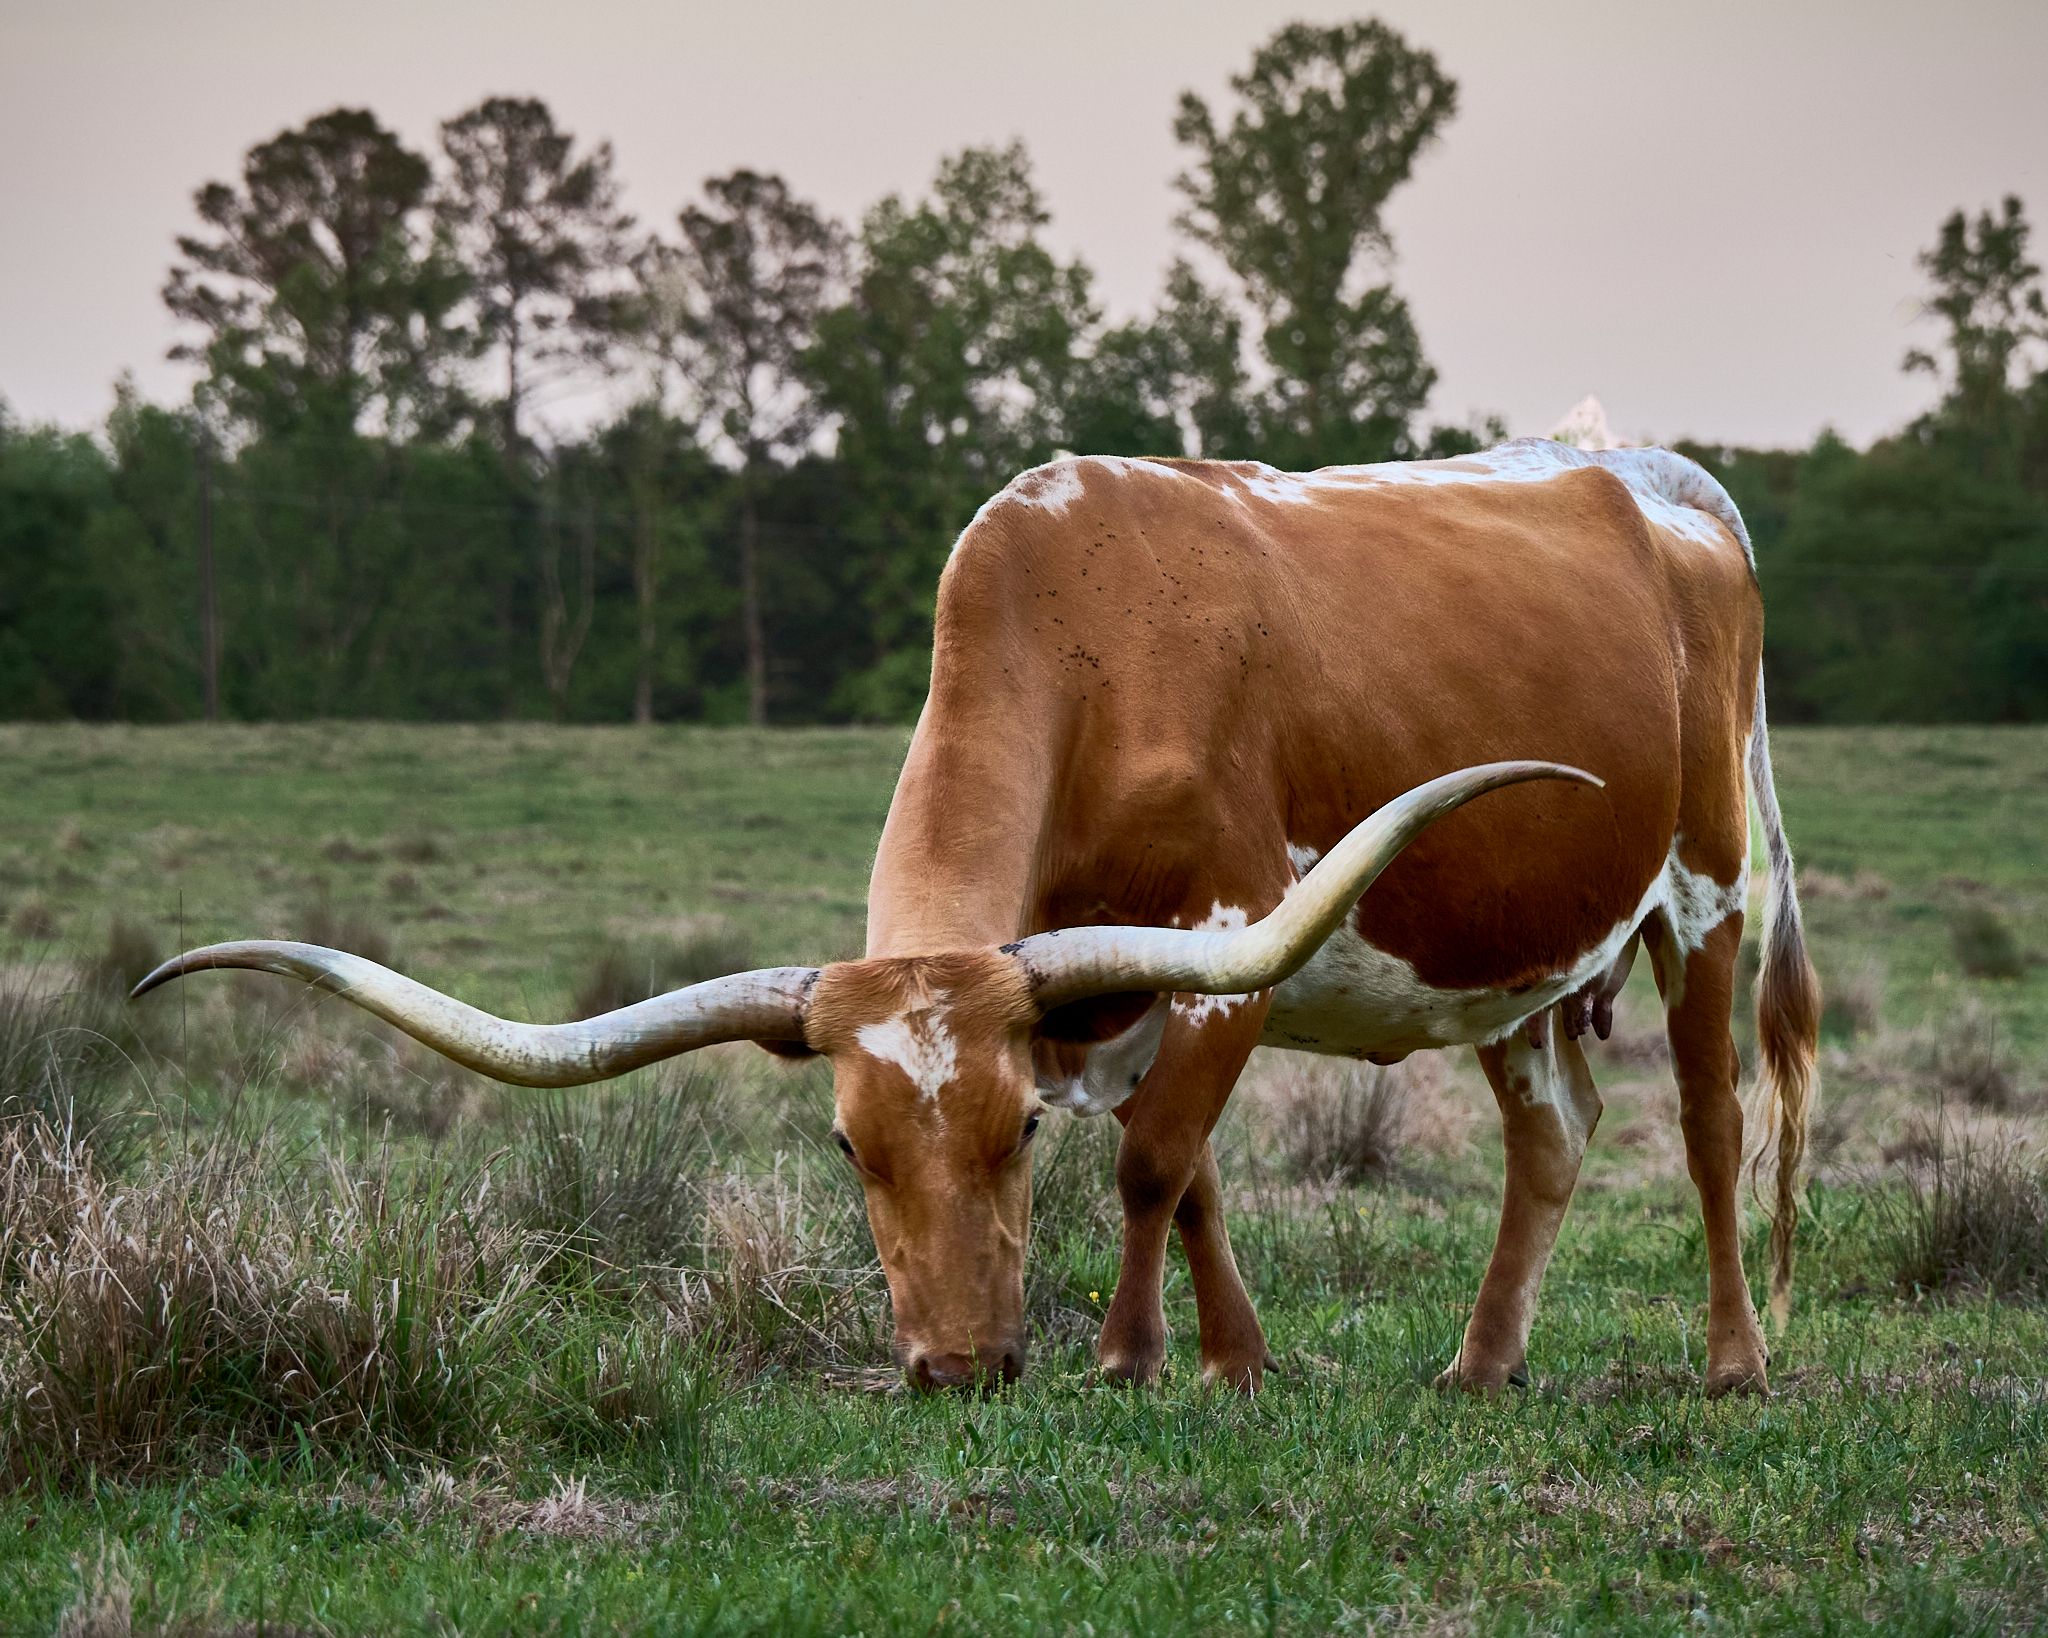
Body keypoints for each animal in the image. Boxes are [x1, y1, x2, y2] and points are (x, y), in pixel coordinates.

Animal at [135, 438, 1820, 1400]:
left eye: (1013, 1134)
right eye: (845, 1147)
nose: (951, 1367)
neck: (1091, 638)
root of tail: (1668, 479)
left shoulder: (1228, 941)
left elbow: (1154, 1162)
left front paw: (1134, 1357)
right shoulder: (1125, 989)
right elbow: (1195, 1176)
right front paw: (1234, 1361)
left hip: (1706, 889)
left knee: (1710, 1124)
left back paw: (1735, 1363)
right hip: (1508, 957)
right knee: (1553, 1131)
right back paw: (1481, 1364)